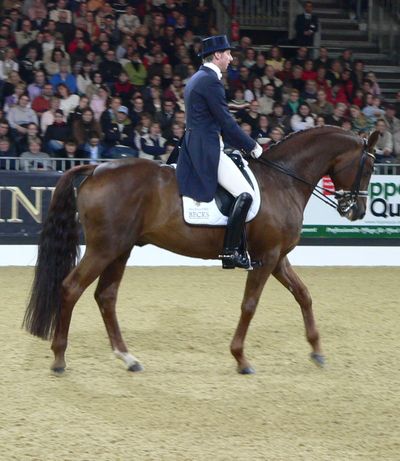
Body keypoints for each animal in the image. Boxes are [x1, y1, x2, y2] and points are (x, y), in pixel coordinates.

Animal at [21, 126, 378, 374]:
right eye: (370, 167)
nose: (357, 211)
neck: (283, 181)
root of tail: (95, 169)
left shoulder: (277, 258)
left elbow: (303, 294)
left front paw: (317, 351)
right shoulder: (267, 259)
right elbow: (249, 305)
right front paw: (240, 358)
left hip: (120, 249)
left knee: (105, 297)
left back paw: (128, 358)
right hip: (104, 248)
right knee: (71, 288)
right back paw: (59, 358)